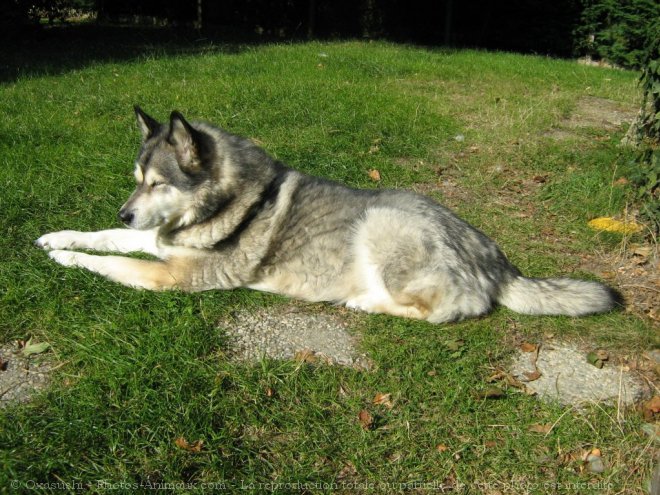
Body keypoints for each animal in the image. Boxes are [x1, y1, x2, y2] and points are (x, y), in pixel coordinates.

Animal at [36, 108, 620, 324]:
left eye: (158, 183)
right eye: (137, 179)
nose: (126, 211)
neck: (225, 200)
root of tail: (497, 260)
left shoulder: (173, 275)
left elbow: (110, 263)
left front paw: (65, 258)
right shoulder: (159, 242)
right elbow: (105, 239)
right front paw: (57, 236)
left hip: (384, 225)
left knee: (450, 308)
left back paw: (365, 302)